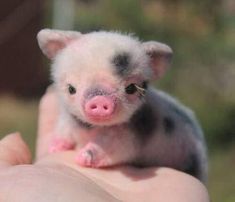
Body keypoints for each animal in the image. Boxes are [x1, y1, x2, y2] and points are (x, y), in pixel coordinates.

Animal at [37, 29, 207, 182]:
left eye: (131, 88)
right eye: (71, 88)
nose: (100, 100)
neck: (89, 129)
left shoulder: (131, 136)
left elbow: (114, 147)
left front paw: (83, 158)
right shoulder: (68, 119)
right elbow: (63, 130)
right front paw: (54, 147)